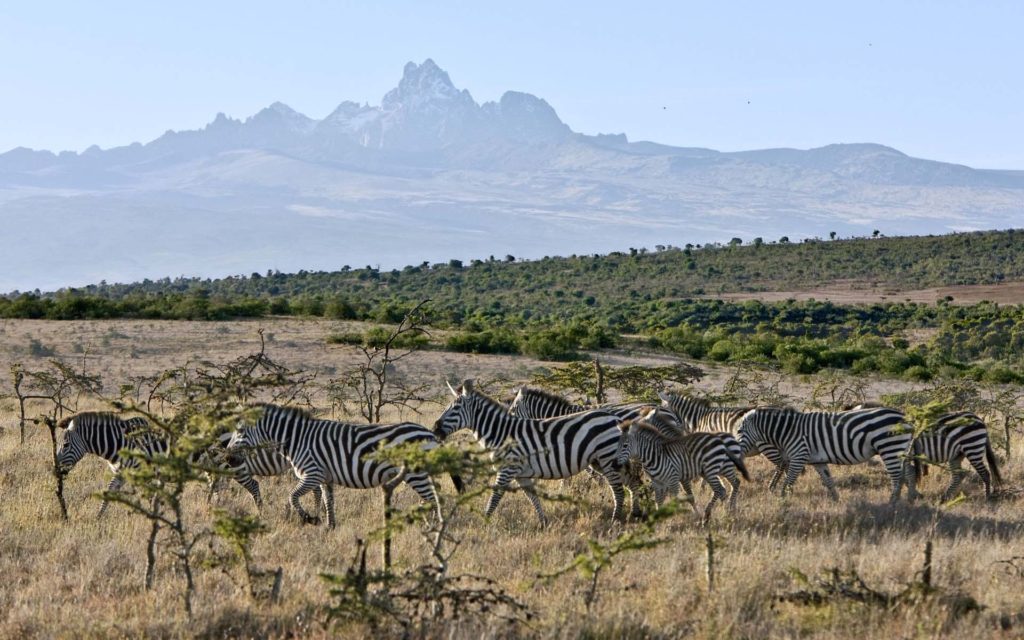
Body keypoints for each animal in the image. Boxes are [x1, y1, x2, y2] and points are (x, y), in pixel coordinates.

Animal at [228, 401, 464, 528]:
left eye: (240, 431)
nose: (228, 458)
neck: (297, 439)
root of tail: (431, 434)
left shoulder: (312, 473)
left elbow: (292, 497)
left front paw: (309, 519)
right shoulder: (324, 477)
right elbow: (328, 501)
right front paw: (329, 527)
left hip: (416, 473)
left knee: (433, 497)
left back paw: (434, 524)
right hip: (420, 473)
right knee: (434, 493)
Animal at [436, 378, 643, 524]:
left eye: (454, 409)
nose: (435, 428)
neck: (501, 433)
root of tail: (616, 418)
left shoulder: (506, 470)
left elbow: (495, 497)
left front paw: (485, 522)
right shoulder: (521, 474)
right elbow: (532, 497)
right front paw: (544, 522)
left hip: (607, 459)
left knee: (618, 490)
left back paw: (615, 521)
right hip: (601, 461)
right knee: (632, 482)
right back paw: (635, 513)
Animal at [614, 419, 753, 524]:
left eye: (625, 446)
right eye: (618, 445)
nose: (615, 465)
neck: (654, 456)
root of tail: (718, 439)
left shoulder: (673, 479)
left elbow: (677, 498)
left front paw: (674, 517)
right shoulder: (658, 482)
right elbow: (659, 500)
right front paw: (658, 518)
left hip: (716, 469)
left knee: (726, 487)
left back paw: (710, 514)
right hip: (712, 470)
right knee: (726, 488)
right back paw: (727, 510)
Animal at [737, 407, 921, 501]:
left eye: (738, 431)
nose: (736, 452)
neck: (788, 430)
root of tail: (906, 416)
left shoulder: (798, 456)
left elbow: (788, 483)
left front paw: (782, 501)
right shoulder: (818, 461)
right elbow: (828, 480)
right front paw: (836, 500)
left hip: (889, 446)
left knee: (896, 477)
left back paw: (892, 503)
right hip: (900, 449)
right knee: (909, 472)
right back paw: (910, 500)